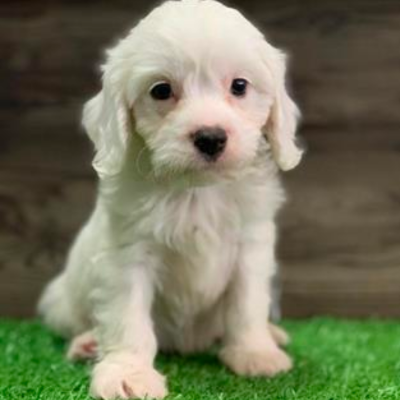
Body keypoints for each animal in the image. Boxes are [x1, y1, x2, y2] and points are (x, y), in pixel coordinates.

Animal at [38, 1, 304, 398]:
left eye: (239, 86)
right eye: (161, 90)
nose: (210, 137)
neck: (195, 191)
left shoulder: (250, 247)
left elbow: (247, 304)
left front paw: (255, 353)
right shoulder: (128, 255)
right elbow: (128, 317)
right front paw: (127, 374)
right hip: (62, 300)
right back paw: (87, 343)